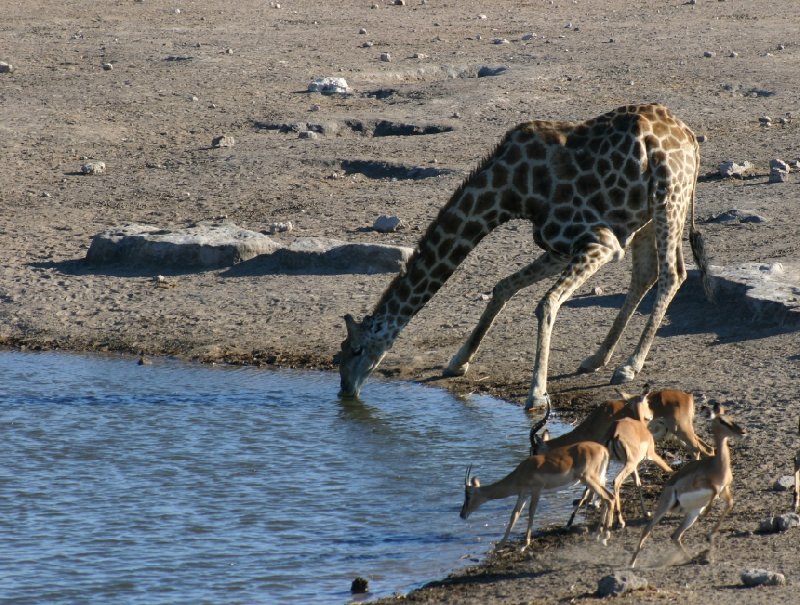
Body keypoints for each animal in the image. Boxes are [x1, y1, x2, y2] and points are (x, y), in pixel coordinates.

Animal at [338, 102, 712, 410]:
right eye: (342, 351)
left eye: (357, 349)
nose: (345, 390)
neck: (510, 189)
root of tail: (691, 139)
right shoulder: (559, 247)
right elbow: (503, 287)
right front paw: (458, 361)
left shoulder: (600, 242)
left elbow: (546, 304)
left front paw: (537, 394)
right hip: (647, 213)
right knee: (646, 274)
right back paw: (596, 359)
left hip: (669, 197)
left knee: (673, 274)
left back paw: (629, 366)